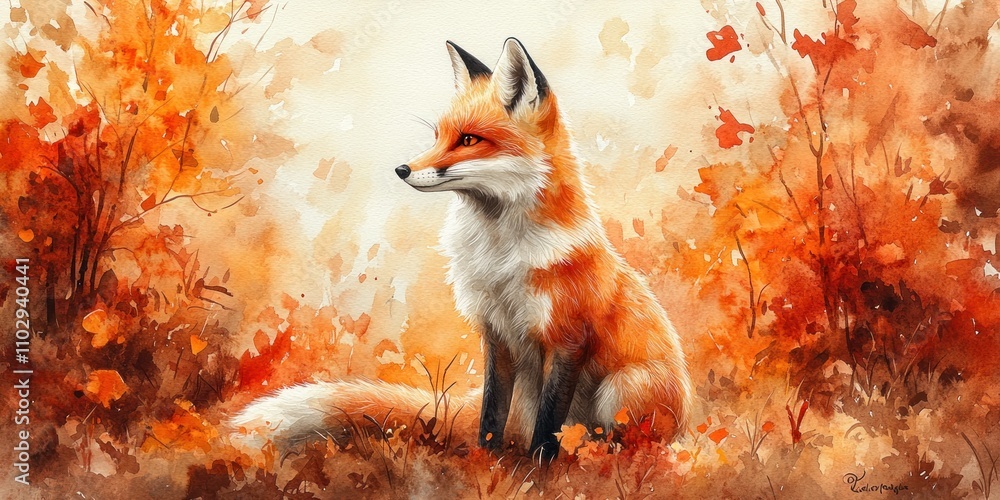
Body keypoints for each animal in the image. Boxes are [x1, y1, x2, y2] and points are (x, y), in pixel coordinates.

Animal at [233, 38, 692, 461]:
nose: (402, 169)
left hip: (626, 386)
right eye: (439, 136)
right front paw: (484, 466)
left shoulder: (567, 338)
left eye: (469, 139)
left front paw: (538, 473)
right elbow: (490, 414)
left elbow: (548, 426)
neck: (499, 258)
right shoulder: (497, 334)